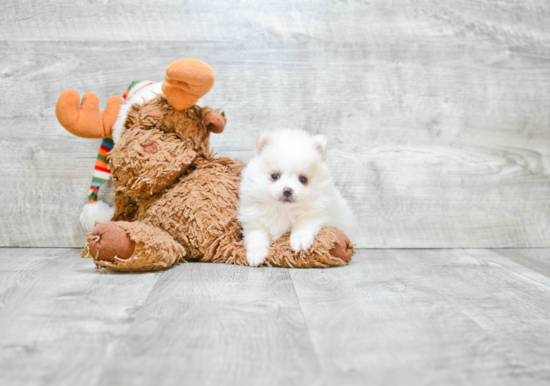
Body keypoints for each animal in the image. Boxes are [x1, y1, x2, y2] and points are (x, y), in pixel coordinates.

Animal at [239, 128, 356, 266]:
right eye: (275, 176)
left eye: (303, 179)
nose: (287, 190)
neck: (283, 209)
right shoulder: (254, 219)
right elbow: (256, 235)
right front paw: (256, 254)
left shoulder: (316, 212)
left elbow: (303, 224)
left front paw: (300, 241)